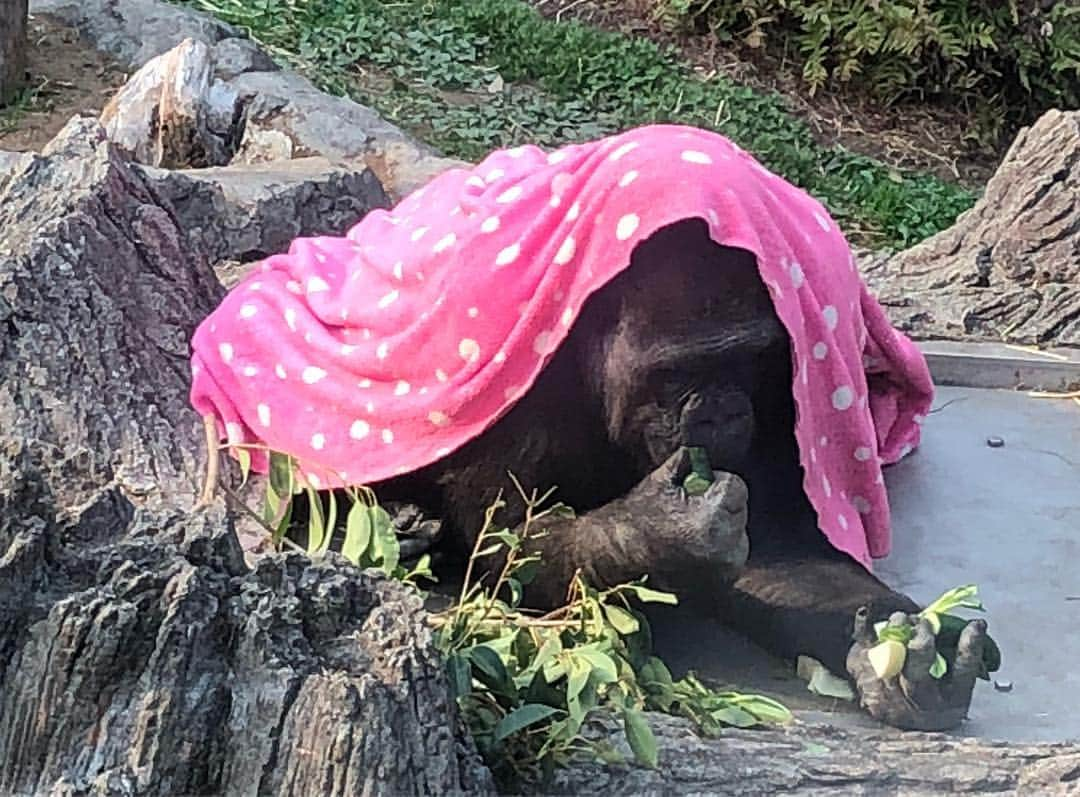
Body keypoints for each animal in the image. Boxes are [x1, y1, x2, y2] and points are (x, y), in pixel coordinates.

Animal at [367, 217, 989, 734]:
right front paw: (660, 530)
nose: (718, 412)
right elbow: (509, 539)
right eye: (674, 372)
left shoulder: (788, 373)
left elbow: (783, 550)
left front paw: (898, 663)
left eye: (742, 359)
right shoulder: (516, 359)